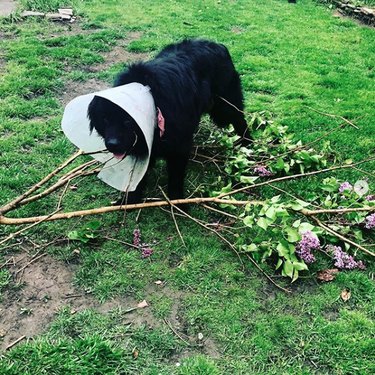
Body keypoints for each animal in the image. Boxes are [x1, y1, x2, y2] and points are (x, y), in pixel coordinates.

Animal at [89, 39, 250, 203]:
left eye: (128, 121)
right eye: (105, 119)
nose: (112, 145)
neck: (155, 104)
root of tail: (218, 45)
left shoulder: (179, 147)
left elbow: (175, 178)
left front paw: (178, 202)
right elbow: (138, 177)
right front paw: (131, 200)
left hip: (225, 107)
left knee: (240, 120)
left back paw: (247, 146)